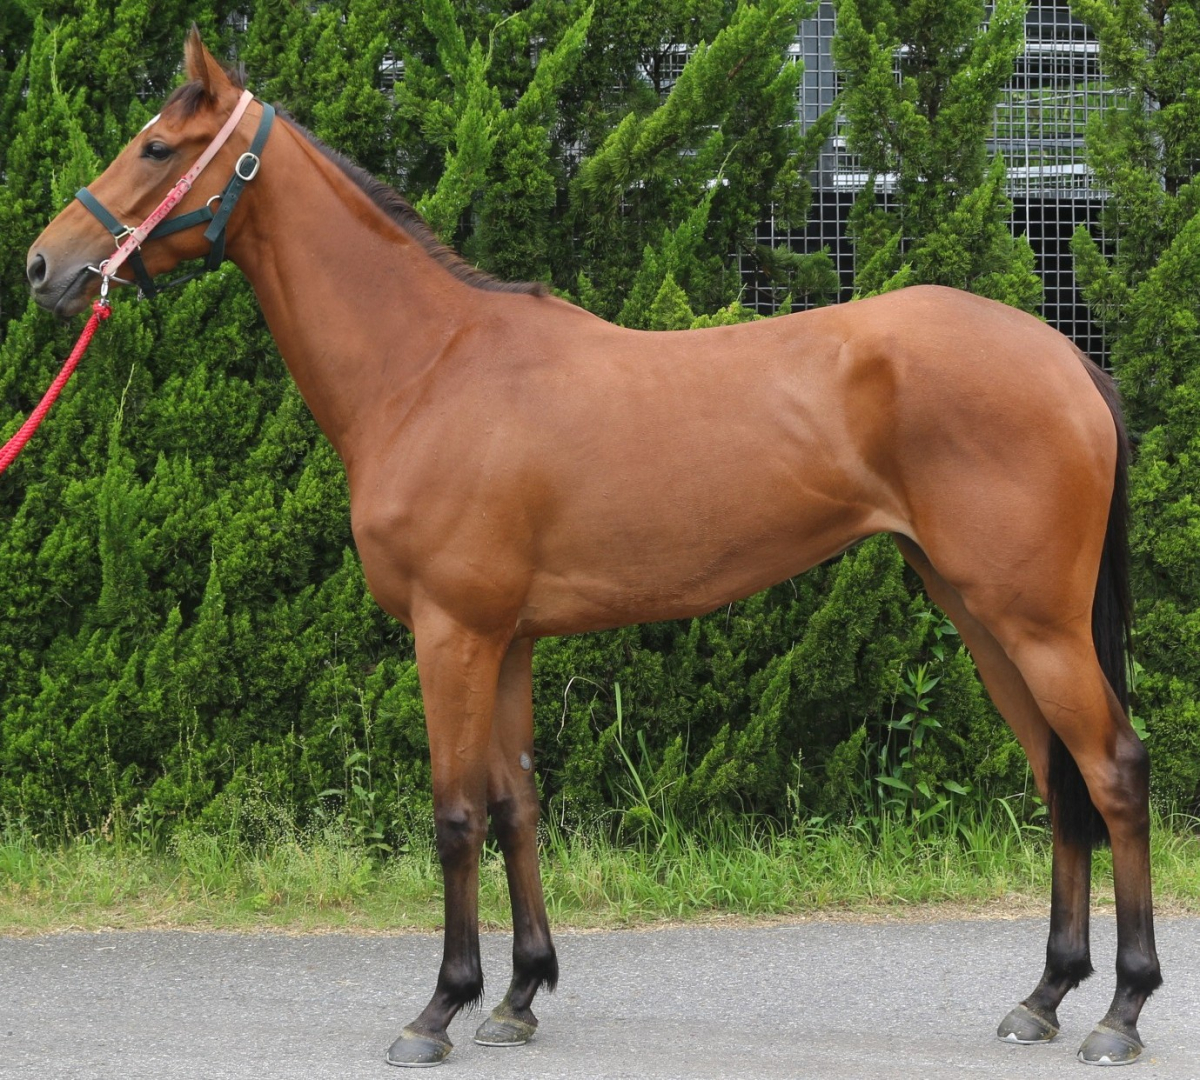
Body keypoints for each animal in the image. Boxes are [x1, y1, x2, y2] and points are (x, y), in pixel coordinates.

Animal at [25, 29, 1160, 1069]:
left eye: (157, 146)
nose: (44, 264)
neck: (429, 369)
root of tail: (1065, 355)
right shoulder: (509, 641)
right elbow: (517, 804)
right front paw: (520, 995)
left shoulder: (452, 633)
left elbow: (455, 815)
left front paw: (438, 1009)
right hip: (979, 614)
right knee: (1056, 776)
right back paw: (1044, 997)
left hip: (1034, 621)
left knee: (1111, 771)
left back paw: (1119, 1011)